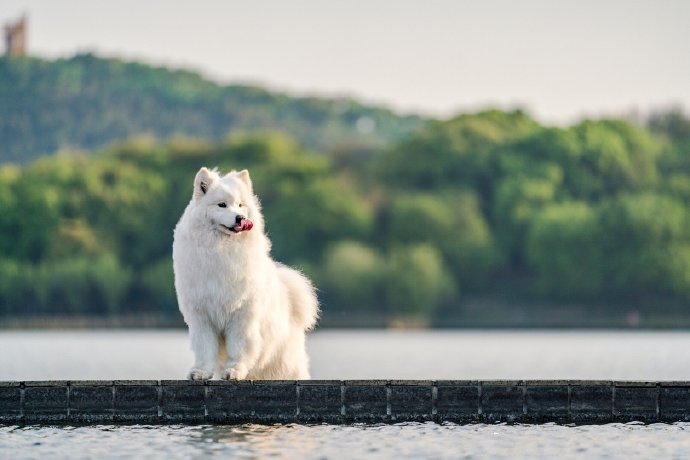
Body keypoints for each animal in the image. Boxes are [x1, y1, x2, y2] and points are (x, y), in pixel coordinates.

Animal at [172, 167, 318, 380]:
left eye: (241, 205)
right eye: (222, 205)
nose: (240, 218)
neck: (221, 250)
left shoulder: (242, 314)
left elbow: (239, 348)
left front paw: (234, 370)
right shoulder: (202, 316)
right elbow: (205, 348)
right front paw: (201, 372)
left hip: (285, 363)